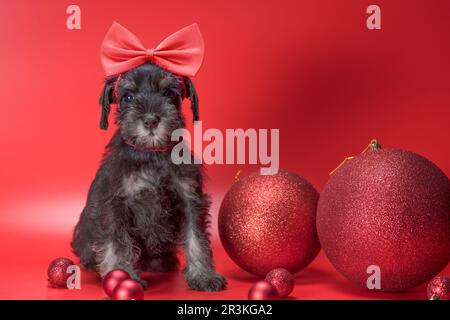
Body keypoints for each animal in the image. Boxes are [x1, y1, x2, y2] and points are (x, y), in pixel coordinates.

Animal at [71, 61, 227, 292]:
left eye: (169, 93)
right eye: (128, 97)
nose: (151, 121)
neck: (151, 153)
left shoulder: (190, 199)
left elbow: (196, 238)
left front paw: (203, 275)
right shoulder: (114, 204)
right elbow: (116, 243)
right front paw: (121, 277)